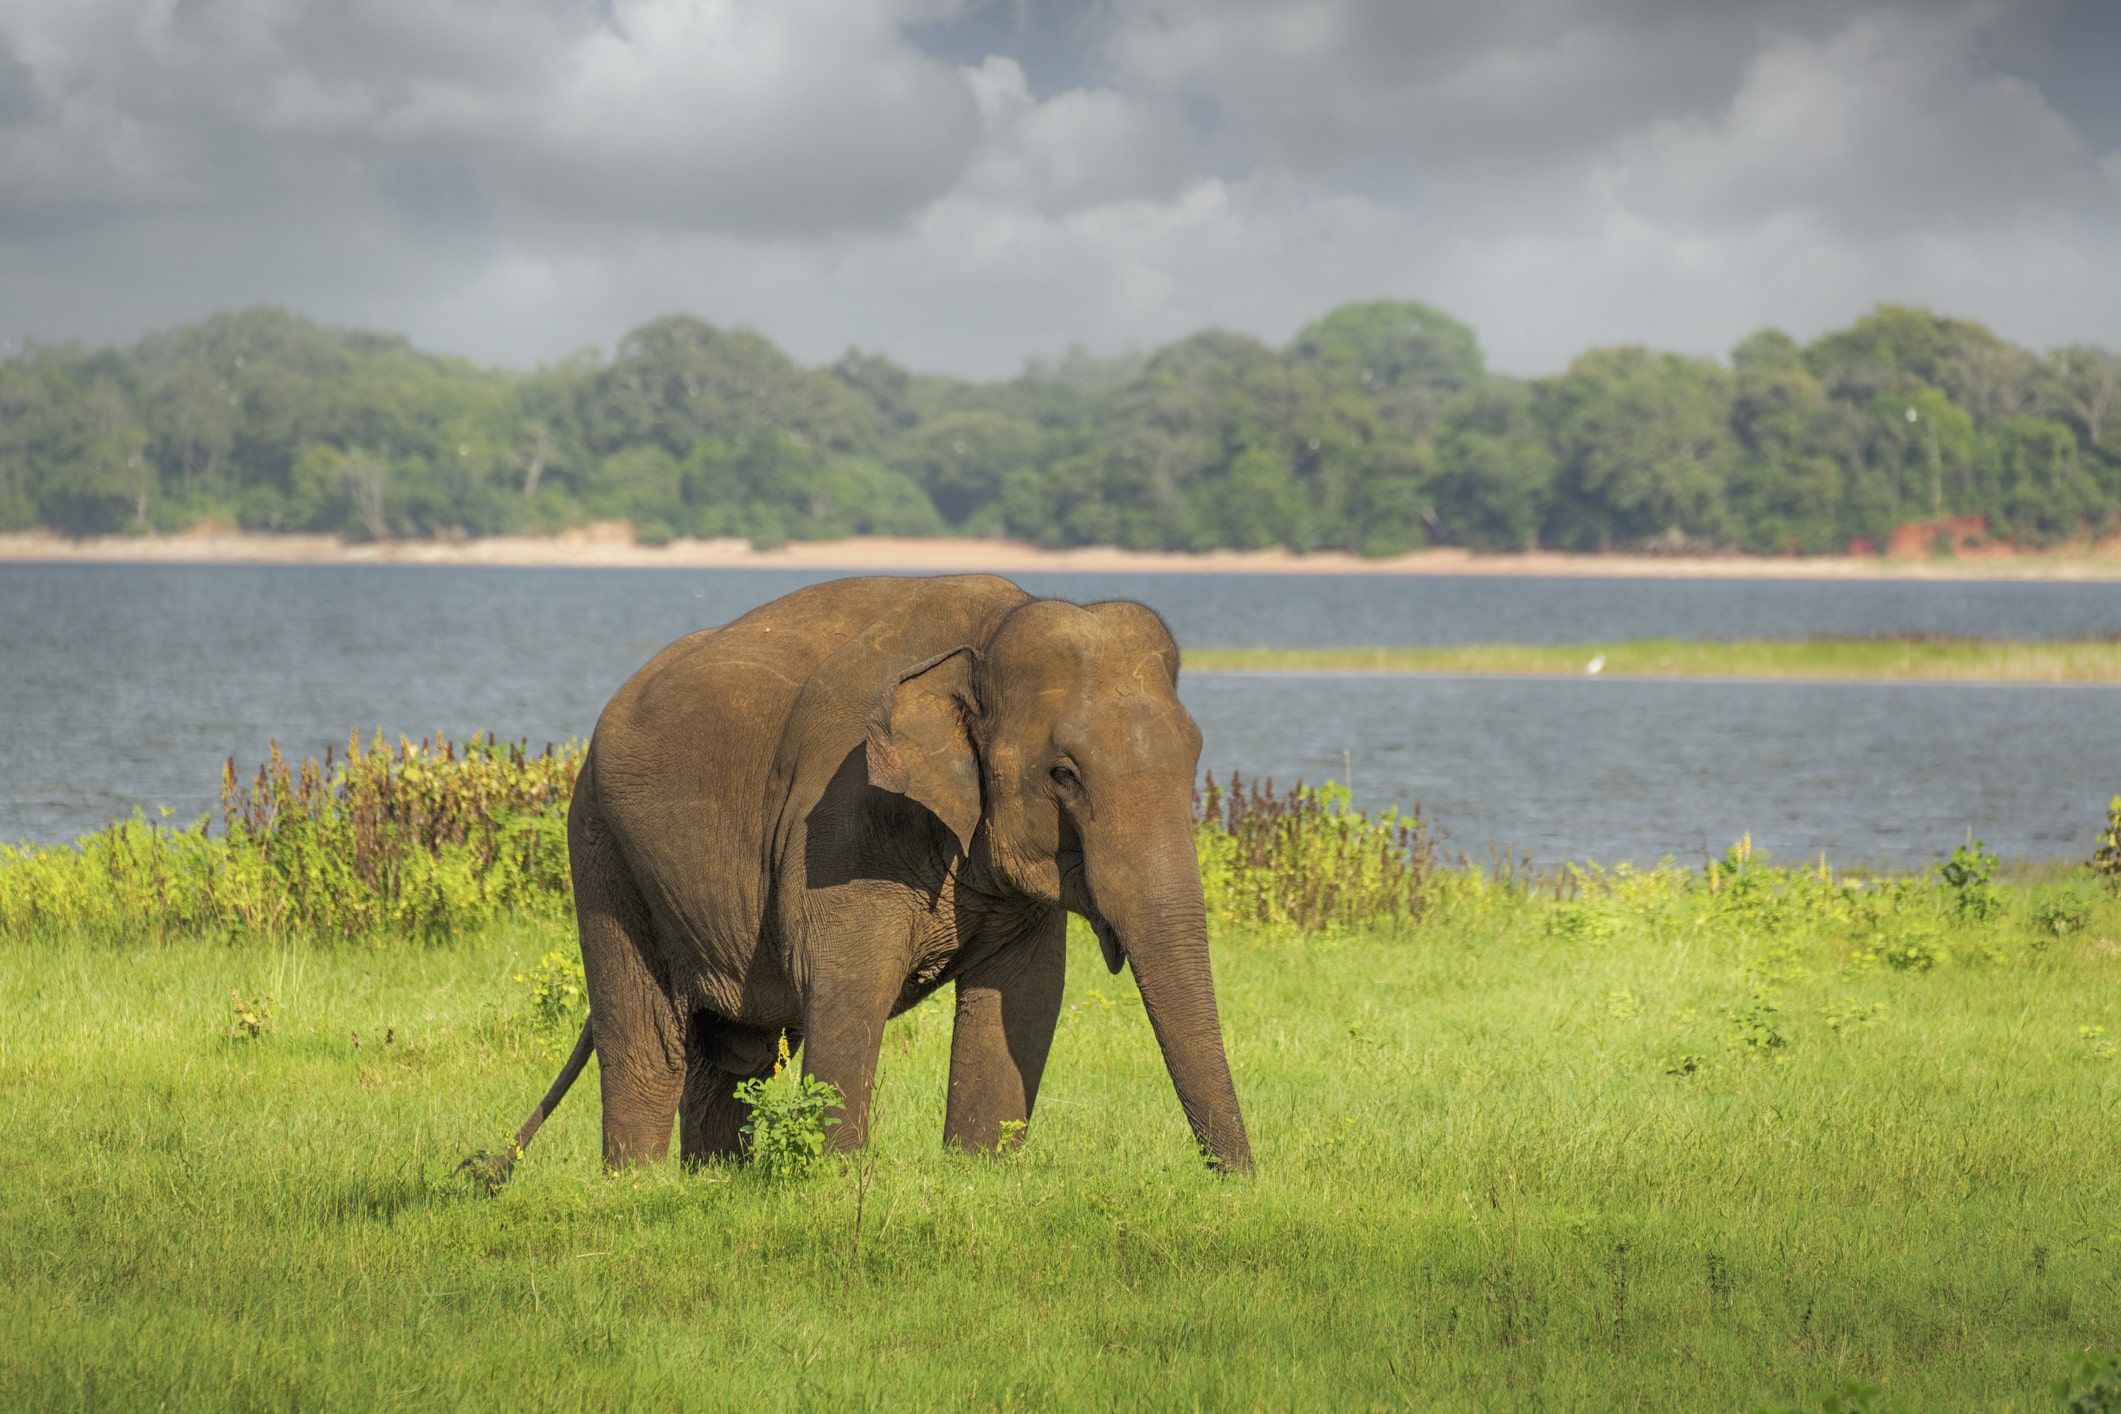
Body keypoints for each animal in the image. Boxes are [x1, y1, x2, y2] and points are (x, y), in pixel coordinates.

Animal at [478, 573, 1251, 1184]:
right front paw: (837, 1180)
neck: (992, 629)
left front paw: (979, 1172)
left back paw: (713, 1179)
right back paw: (635, 1184)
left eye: (1195, 756)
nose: (1238, 1180)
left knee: (731, 1049)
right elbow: (849, 982)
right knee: (648, 1041)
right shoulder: (843, 815)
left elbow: (1024, 994)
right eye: (1065, 774)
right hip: (603, 847)